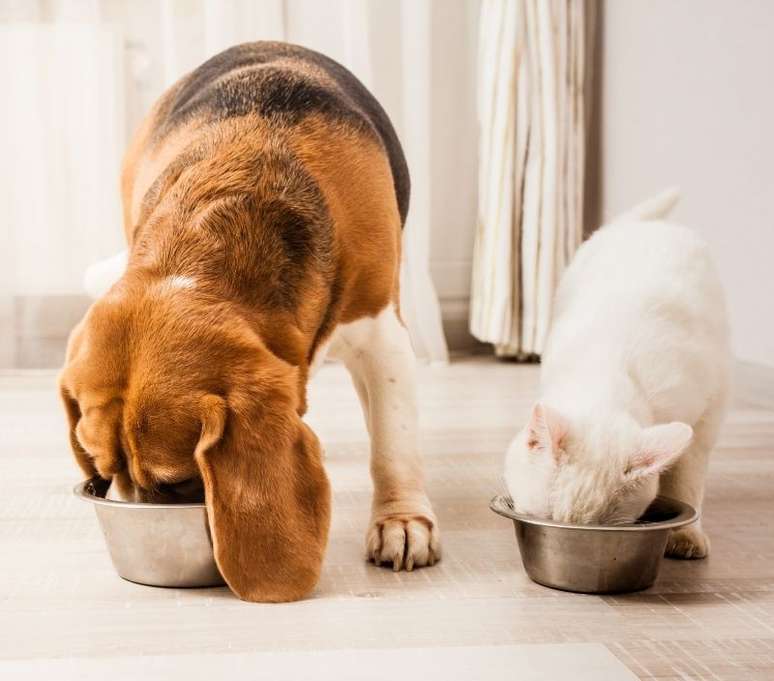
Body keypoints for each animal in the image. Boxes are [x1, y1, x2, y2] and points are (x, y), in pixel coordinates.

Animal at [506, 190, 732, 556]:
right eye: (546, 518)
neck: (605, 375)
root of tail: (645, 224)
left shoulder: (705, 416)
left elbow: (686, 482)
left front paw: (686, 535)